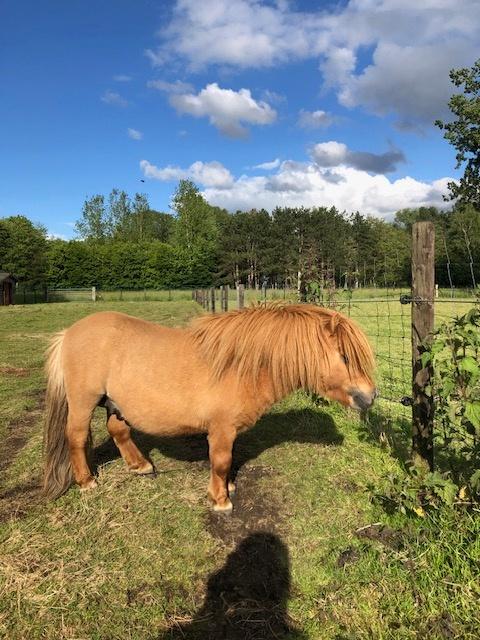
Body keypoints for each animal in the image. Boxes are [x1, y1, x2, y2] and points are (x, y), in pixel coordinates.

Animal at [43, 304, 377, 512]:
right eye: (345, 357)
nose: (370, 397)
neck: (242, 366)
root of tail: (69, 333)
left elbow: (228, 462)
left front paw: (229, 488)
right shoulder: (221, 429)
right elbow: (220, 462)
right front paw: (221, 500)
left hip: (115, 404)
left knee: (118, 431)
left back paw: (141, 466)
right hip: (84, 402)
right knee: (75, 437)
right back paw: (86, 482)